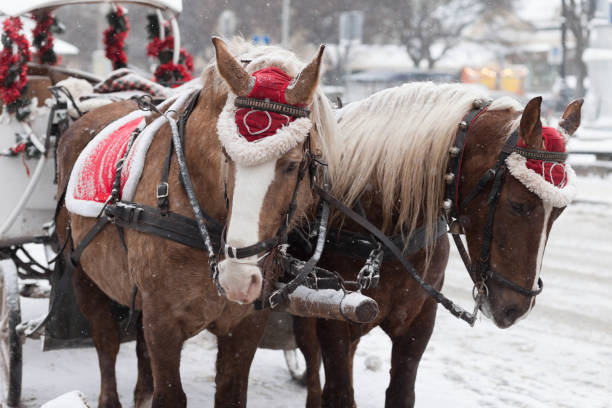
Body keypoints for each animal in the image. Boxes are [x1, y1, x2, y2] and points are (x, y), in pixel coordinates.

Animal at [54, 36, 338, 406]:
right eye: (226, 155)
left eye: (292, 164)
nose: (237, 278)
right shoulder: (163, 320)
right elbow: (169, 393)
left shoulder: (245, 322)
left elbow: (230, 392)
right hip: (84, 275)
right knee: (106, 344)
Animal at [231, 81, 584, 406]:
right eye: (518, 204)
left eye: (560, 211)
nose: (516, 308)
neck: (385, 232)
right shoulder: (336, 318)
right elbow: (339, 391)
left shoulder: (418, 322)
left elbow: (401, 392)